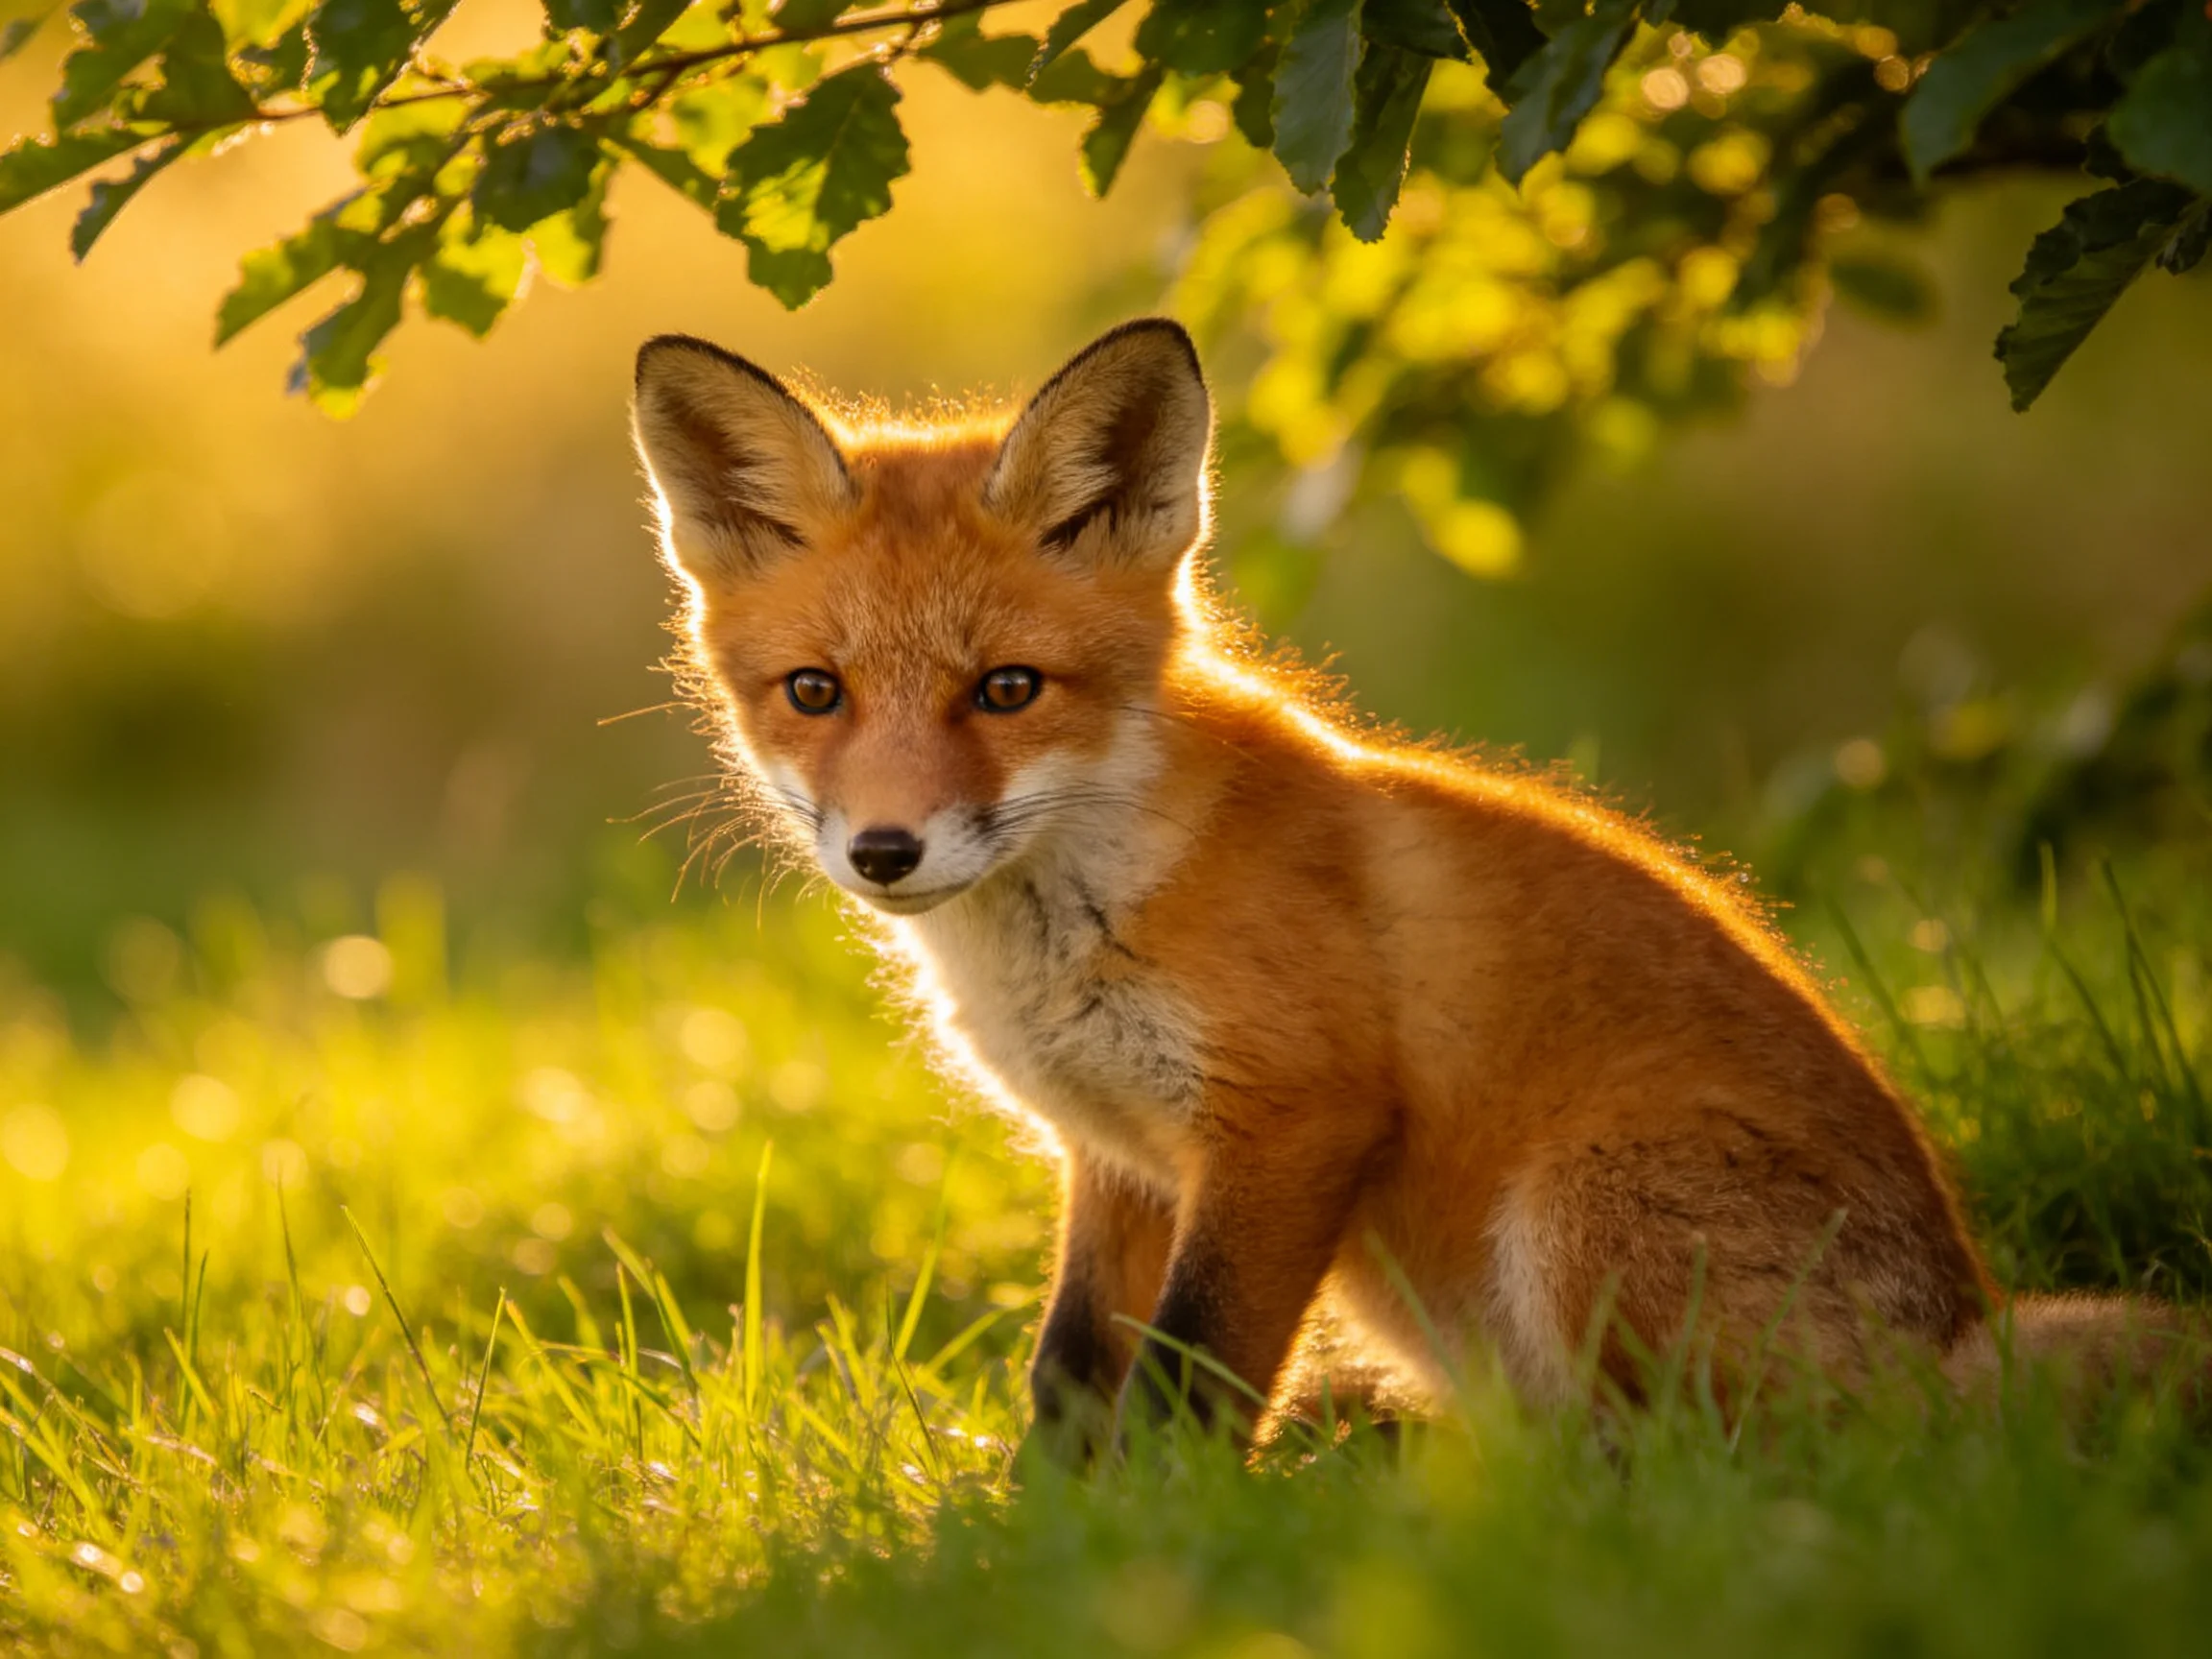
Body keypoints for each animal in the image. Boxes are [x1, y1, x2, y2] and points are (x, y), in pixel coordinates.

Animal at [628, 318, 2191, 1454]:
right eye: (815, 693)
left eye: (1007, 690)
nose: (885, 851)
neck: (1078, 926)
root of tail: (1959, 1327)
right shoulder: (1118, 1152)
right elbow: (1068, 1378)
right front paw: (1033, 1549)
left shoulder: (1291, 1122)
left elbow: (1190, 1377)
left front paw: (1154, 1542)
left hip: (1580, 1209)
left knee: (1756, 1468)